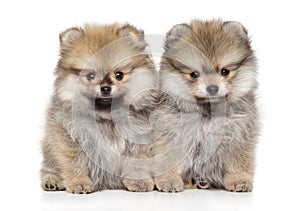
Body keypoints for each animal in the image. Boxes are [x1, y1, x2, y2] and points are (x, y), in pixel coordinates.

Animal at [41, 23, 161, 193]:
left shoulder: (138, 140)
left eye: (119, 75)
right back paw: (52, 181)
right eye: (90, 76)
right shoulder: (69, 138)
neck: (106, 118)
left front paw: (139, 181)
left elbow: (137, 163)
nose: (105, 88)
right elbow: (73, 164)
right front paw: (79, 183)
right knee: (48, 168)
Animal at [159, 19, 260, 192]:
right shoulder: (173, 134)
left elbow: (237, 162)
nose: (212, 88)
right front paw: (169, 179)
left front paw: (238, 180)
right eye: (194, 74)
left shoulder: (239, 134)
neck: (208, 112)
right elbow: (168, 160)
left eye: (225, 72)